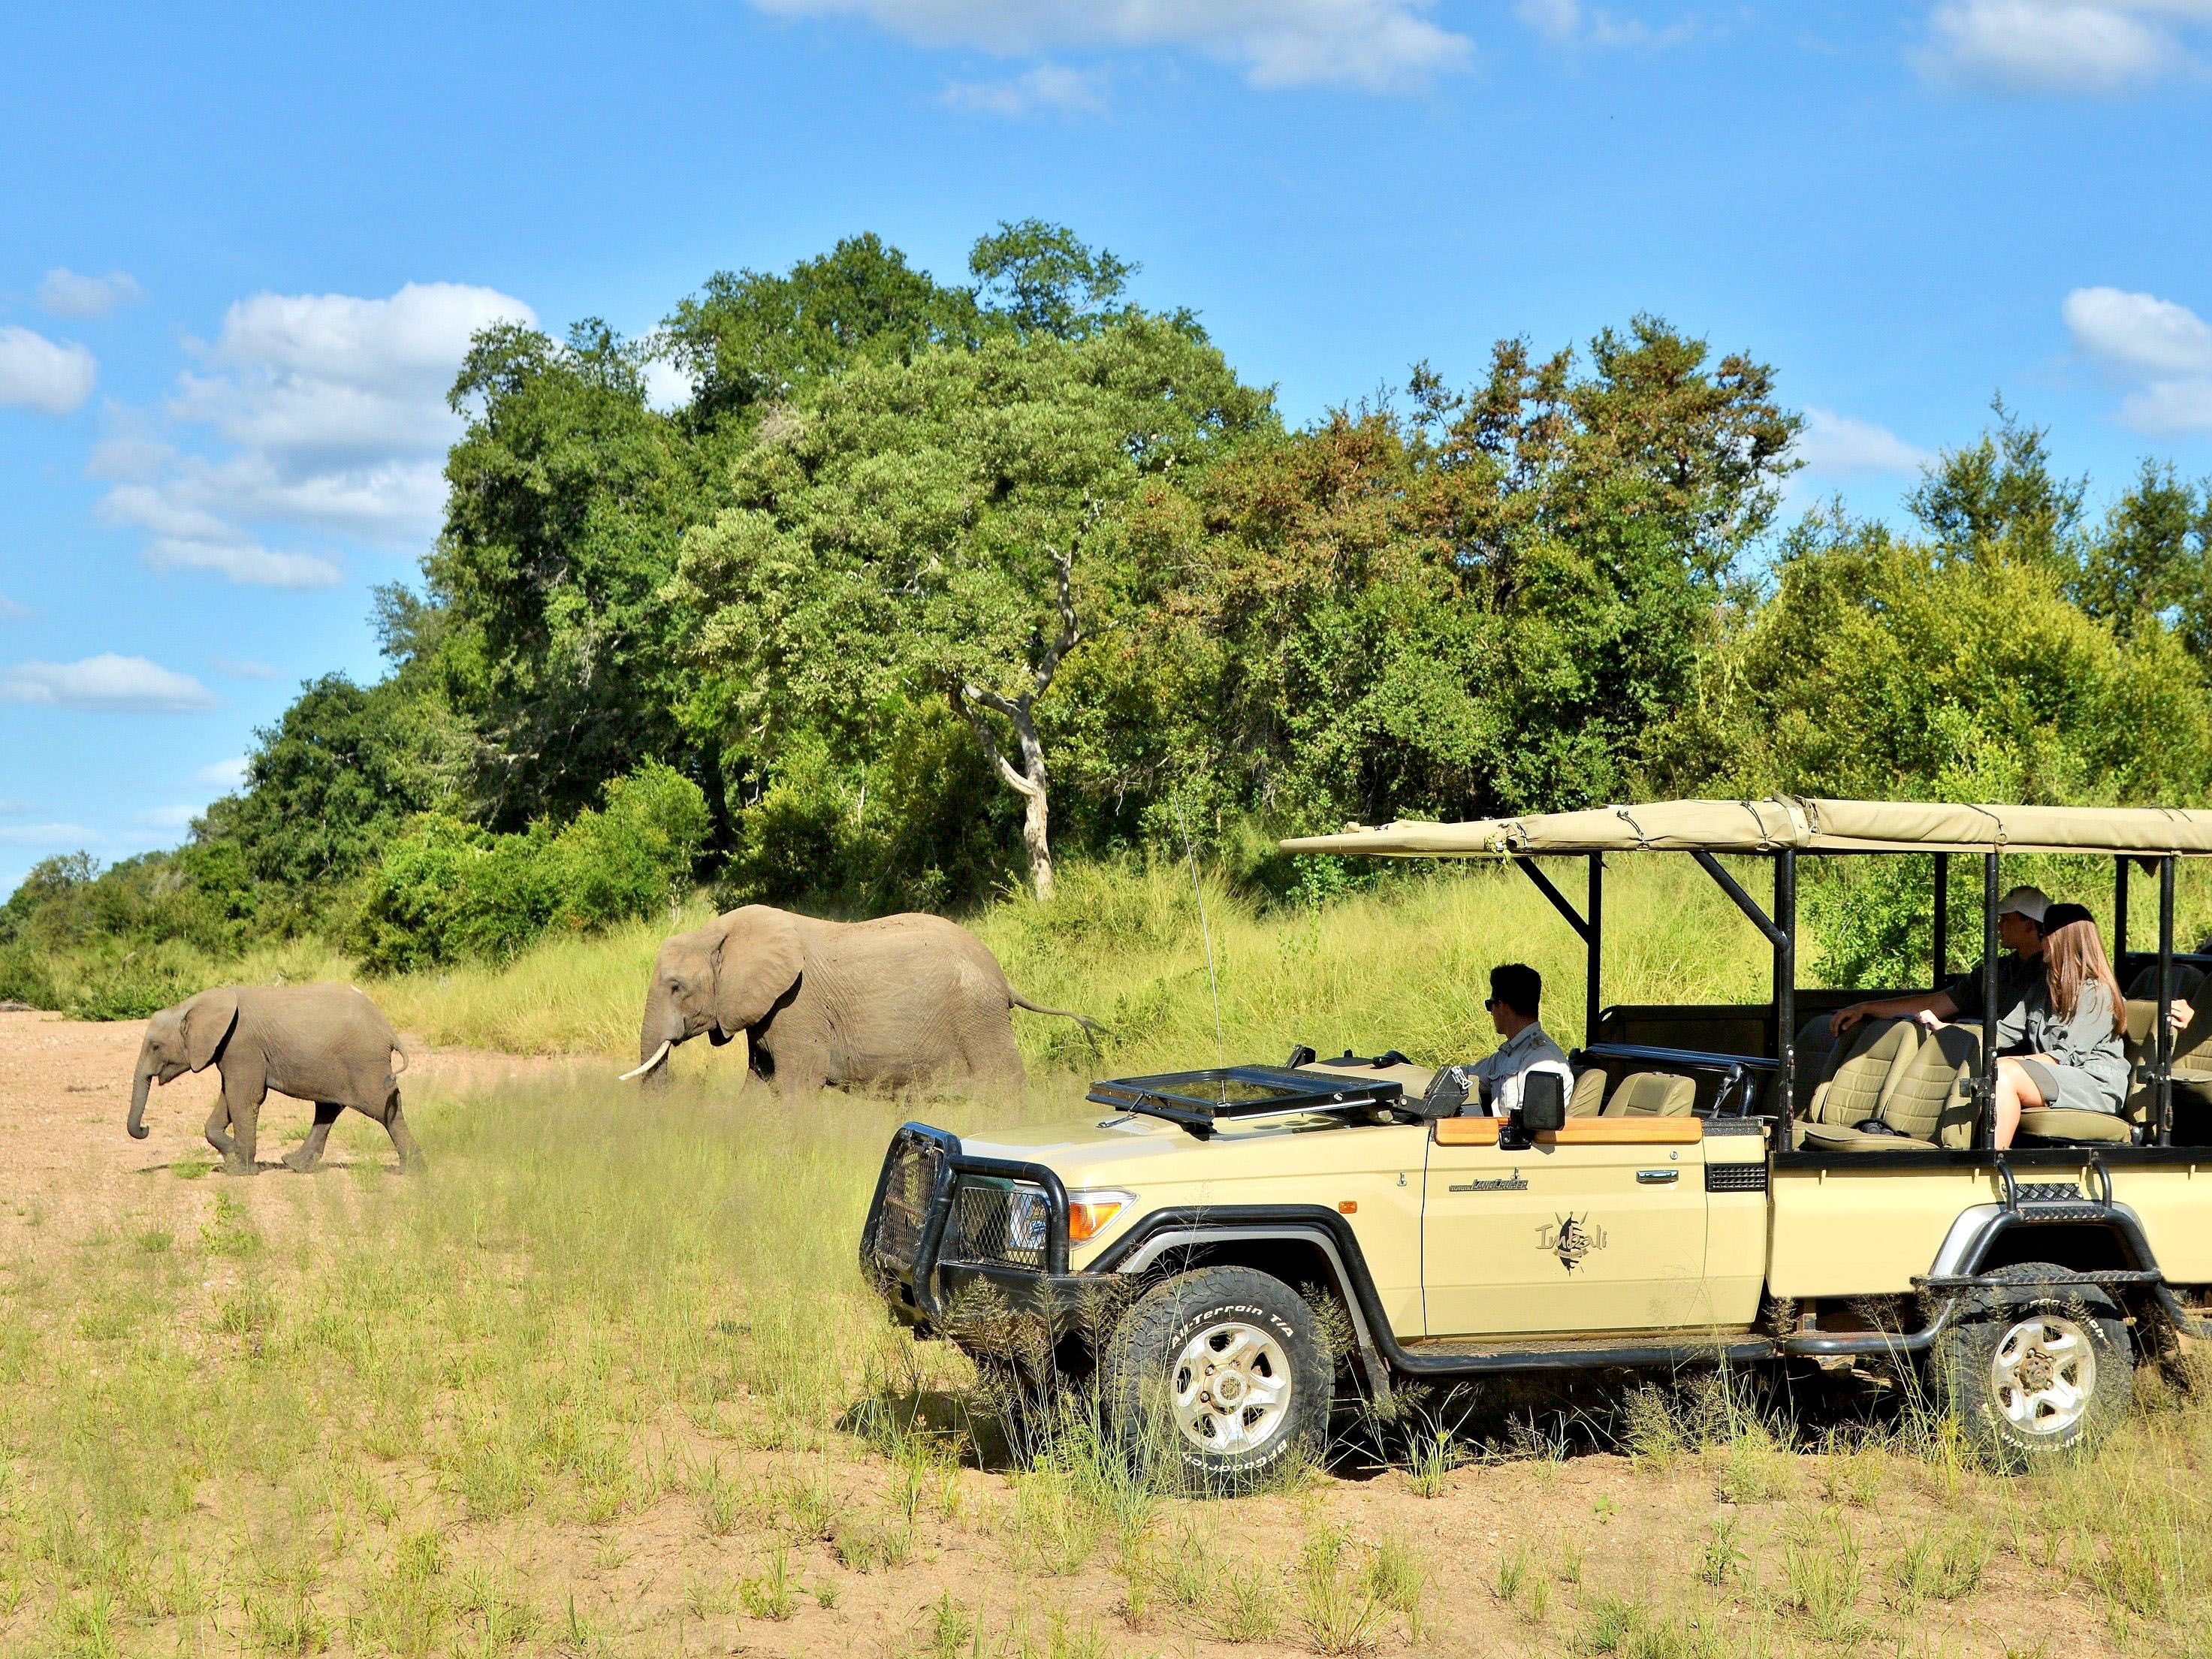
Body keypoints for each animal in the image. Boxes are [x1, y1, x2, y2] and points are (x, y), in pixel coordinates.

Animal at [127, 983, 422, 1175]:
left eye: (155, 1046)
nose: (145, 1129)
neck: (194, 1004)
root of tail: (389, 1030)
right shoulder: (230, 1050)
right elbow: (229, 1098)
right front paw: (231, 1158)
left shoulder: (242, 1046)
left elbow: (244, 1098)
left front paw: (240, 1169)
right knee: (328, 1108)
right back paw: (295, 1165)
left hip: (364, 1062)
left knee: (384, 1107)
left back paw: (412, 1171)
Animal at [625, 905, 1104, 1096]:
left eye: (676, 987)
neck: (718, 931)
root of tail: (1004, 980)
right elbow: (759, 1082)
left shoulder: (797, 1006)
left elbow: (799, 1082)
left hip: (978, 1017)